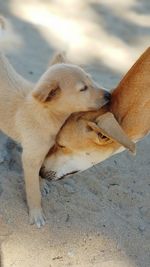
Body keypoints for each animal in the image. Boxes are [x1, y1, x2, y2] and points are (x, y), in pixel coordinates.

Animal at [0, 16, 110, 227]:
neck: (47, 114)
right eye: (83, 89)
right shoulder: (30, 157)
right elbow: (32, 189)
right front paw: (36, 213)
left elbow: (41, 172)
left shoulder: (46, 150)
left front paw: (42, 184)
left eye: (91, 80)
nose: (109, 95)